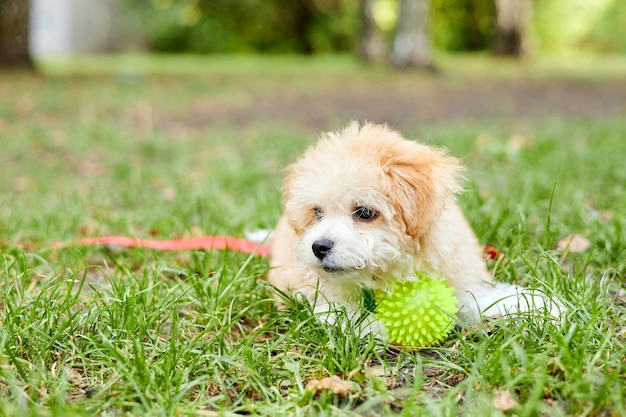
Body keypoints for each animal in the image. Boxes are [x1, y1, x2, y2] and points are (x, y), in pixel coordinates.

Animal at [268, 121, 552, 332]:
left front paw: (545, 308)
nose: (319, 247)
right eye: (317, 212)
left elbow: (484, 299)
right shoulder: (328, 299)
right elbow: (350, 317)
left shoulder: (458, 278)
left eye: (365, 212)